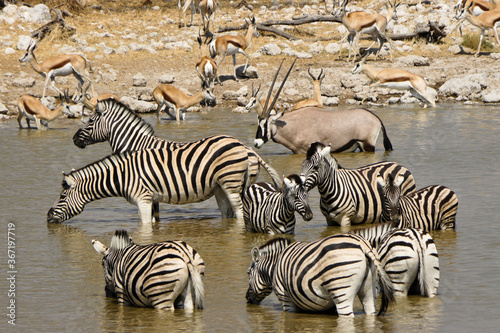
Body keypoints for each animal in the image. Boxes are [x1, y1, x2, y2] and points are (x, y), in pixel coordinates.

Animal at [47, 134, 270, 223]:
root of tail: (242, 145)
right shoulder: (150, 200)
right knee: (227, 213)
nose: (47, 217)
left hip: (231, 183)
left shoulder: (143, 198)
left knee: (239, 213)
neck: (123, 176)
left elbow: (144, 226)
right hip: (219, 187)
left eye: (62, 197)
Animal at [245, 233, 394, 316]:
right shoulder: (328, 306)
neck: (275, 266)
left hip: (341, 290)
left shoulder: (285, 299)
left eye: (248, 273)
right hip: (370, 289)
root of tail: (362, 244)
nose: (247, 298)